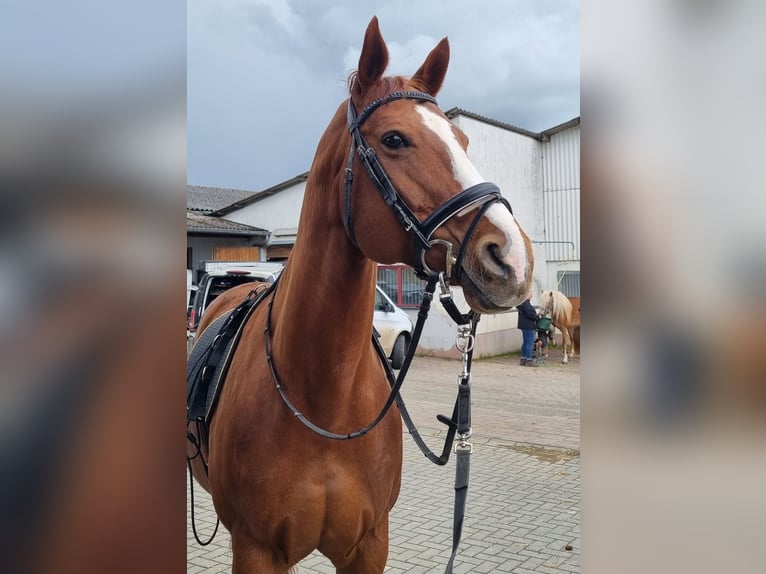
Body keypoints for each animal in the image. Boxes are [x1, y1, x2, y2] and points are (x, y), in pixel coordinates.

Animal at [188, 17, 534, 574]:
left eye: (462, 138)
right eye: (394, 139)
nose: (513, 259)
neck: (323, 402)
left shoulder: (370, 545)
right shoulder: (256, 550)